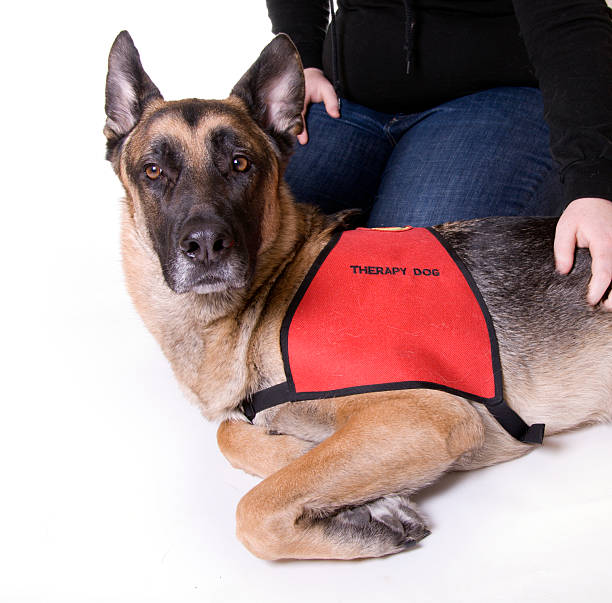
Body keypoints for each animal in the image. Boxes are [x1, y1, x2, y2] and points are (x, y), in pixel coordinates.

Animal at [105, 31, 612, 560]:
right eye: (153, 170)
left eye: (240, 164)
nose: (205, 245)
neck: (269, 293)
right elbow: (237, 437)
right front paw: (366, 500)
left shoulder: (425, 416)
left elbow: (255, 510)